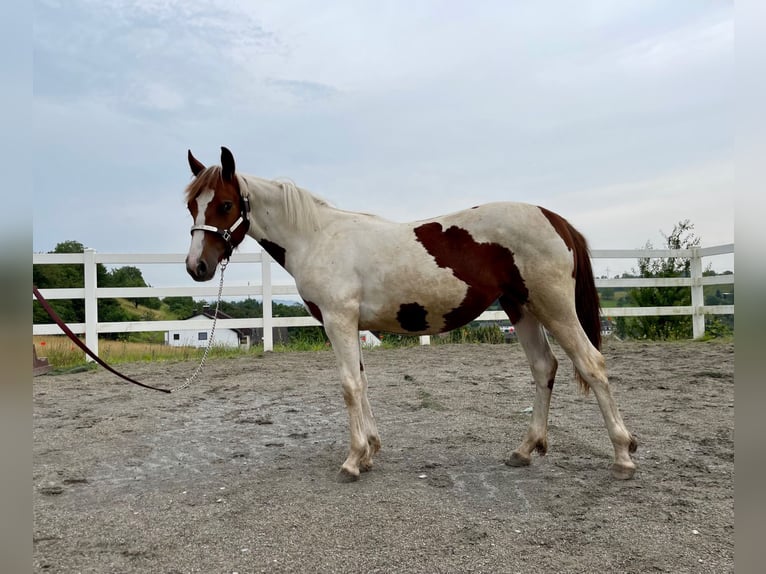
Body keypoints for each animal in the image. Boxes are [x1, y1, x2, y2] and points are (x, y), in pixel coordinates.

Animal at [183, 147, 640, 482]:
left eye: (225, 204)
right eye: (191, 206)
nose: (196, 267)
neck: (317, 237)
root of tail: (555, 219)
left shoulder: (338, 321)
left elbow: (349, 386)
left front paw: (353, 461)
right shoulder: (351, 326)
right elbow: (363, 384)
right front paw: (370, 451)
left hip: (553, 307)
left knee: (592, 364)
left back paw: (622, 454)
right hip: (522, 308)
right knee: (544, 367)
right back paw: (525, 450)